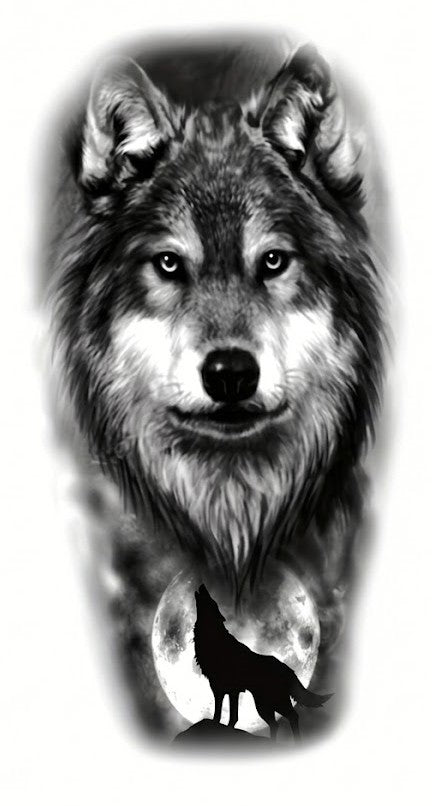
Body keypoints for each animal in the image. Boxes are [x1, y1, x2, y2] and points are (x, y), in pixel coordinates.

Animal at [194, 584, 331, 740]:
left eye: (212, 601)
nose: (202, 585)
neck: (213, 639)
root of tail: (288, 669)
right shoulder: (222, 688)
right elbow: (226, 715)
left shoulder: (226, 689)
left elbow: (225, 715)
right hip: (263, 705)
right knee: (275, 724)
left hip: (273, 702)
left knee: (293, 716)